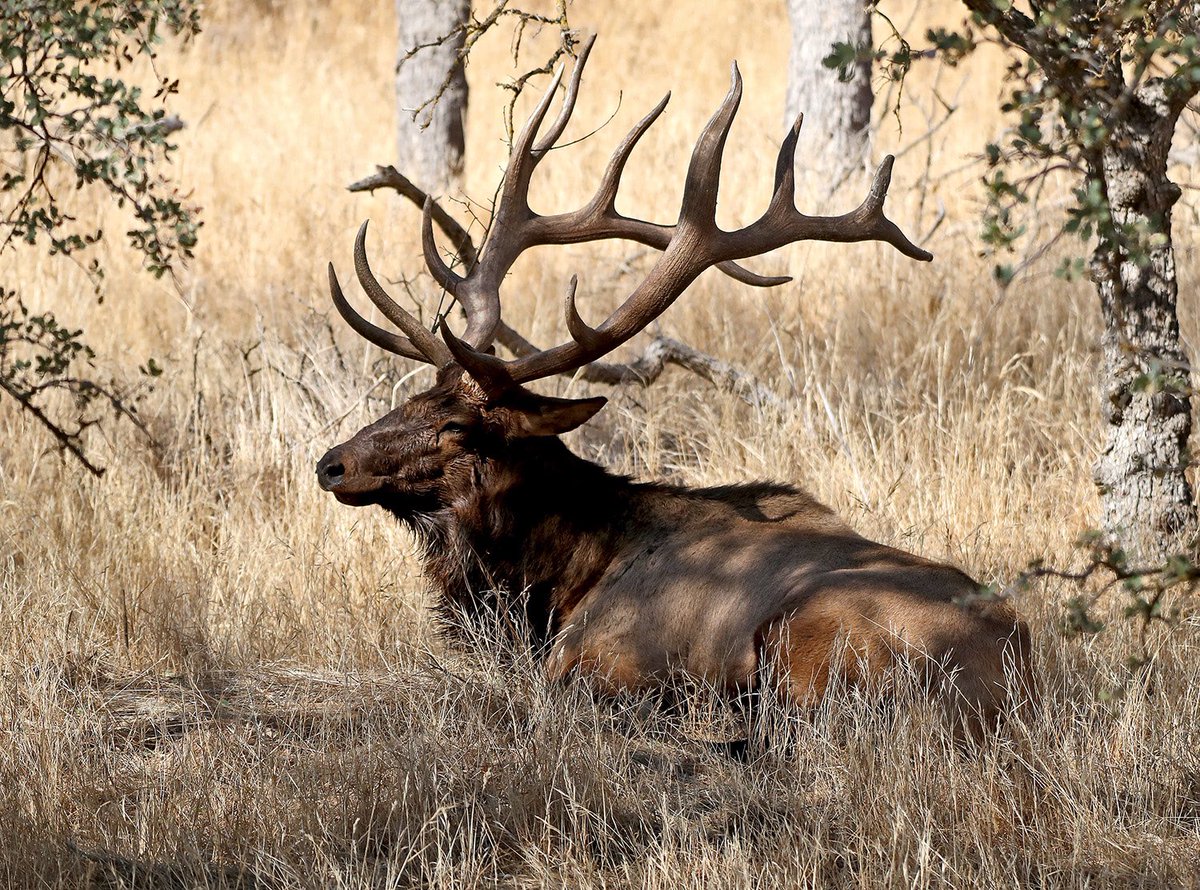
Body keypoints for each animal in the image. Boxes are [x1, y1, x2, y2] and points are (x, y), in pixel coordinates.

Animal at [316, 38, 1032, 738]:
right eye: (413, 399)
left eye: (459, 428)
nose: (332, 463)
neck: (554, 580)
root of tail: (1018, 679)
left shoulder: (594, 658)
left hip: (810, 637)